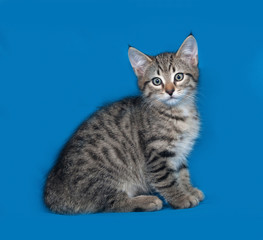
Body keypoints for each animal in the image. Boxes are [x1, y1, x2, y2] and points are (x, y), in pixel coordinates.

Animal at [43, 34, 204, 214]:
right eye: (156, 81)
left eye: (178, 77)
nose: (170, 91)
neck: (177, 112)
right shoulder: (156, 154)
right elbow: (166, 180)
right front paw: (180, 198)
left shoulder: (180, 151)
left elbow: (181, 172)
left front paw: (189, 190)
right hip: (101, 178)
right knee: (113, 203)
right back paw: (147, 201)